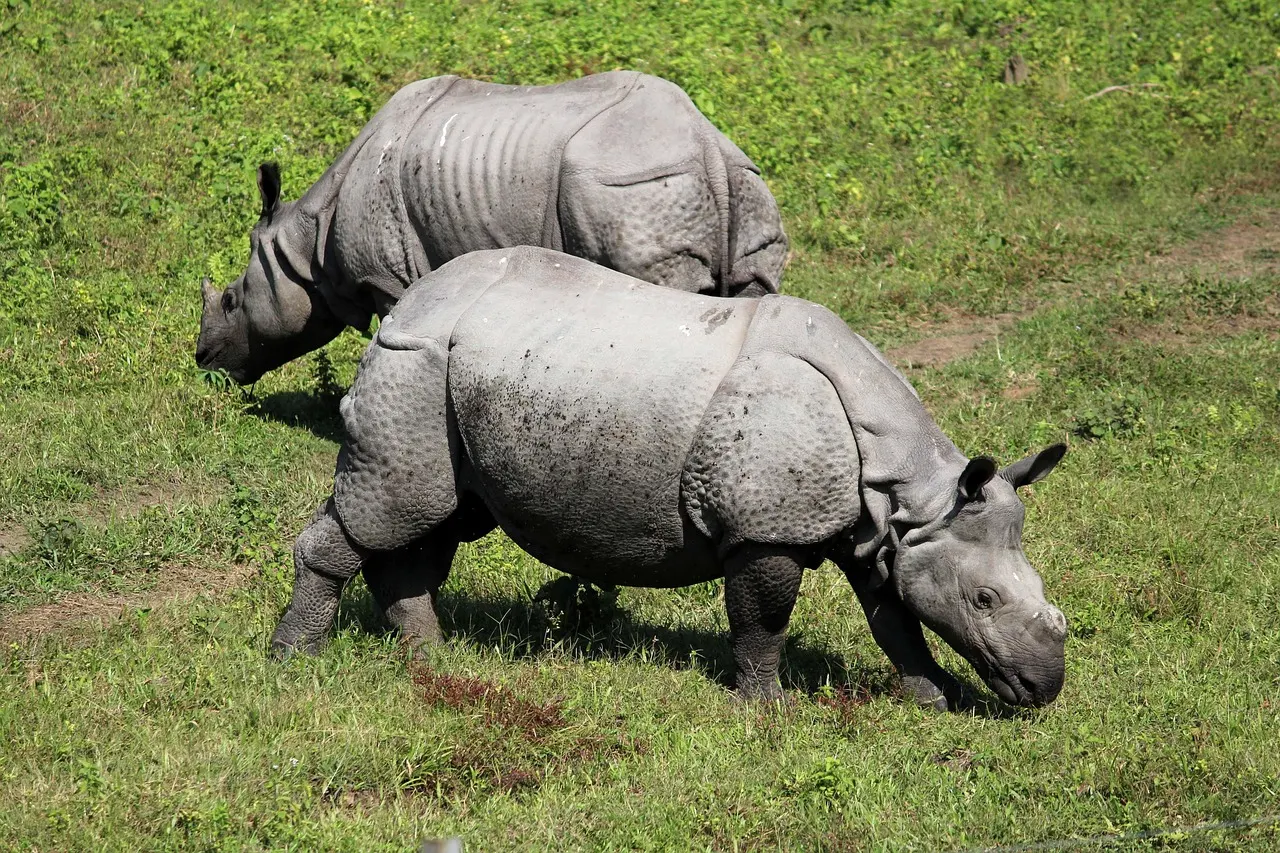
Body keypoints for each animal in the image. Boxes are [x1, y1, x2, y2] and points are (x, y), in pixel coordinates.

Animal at [195, 71, 788, 384]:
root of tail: (707, 147)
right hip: (742, 184)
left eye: (230, 300)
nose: (204, 363)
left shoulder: (388, 277)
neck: (307, 243)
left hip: (630, 188)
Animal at [270, 247, 1069, 709]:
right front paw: (765, 710)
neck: (912, 489)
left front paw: (933, 700)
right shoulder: (768, 528)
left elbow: (894, 618)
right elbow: (763, 621)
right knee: (394, 508)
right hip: (413, 363)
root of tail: (407, 300)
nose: (1044, 687)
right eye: (985, 598)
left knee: (435, 517)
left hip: (460, 373)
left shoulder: (879, 530)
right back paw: (295, 661)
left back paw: (433, 664)